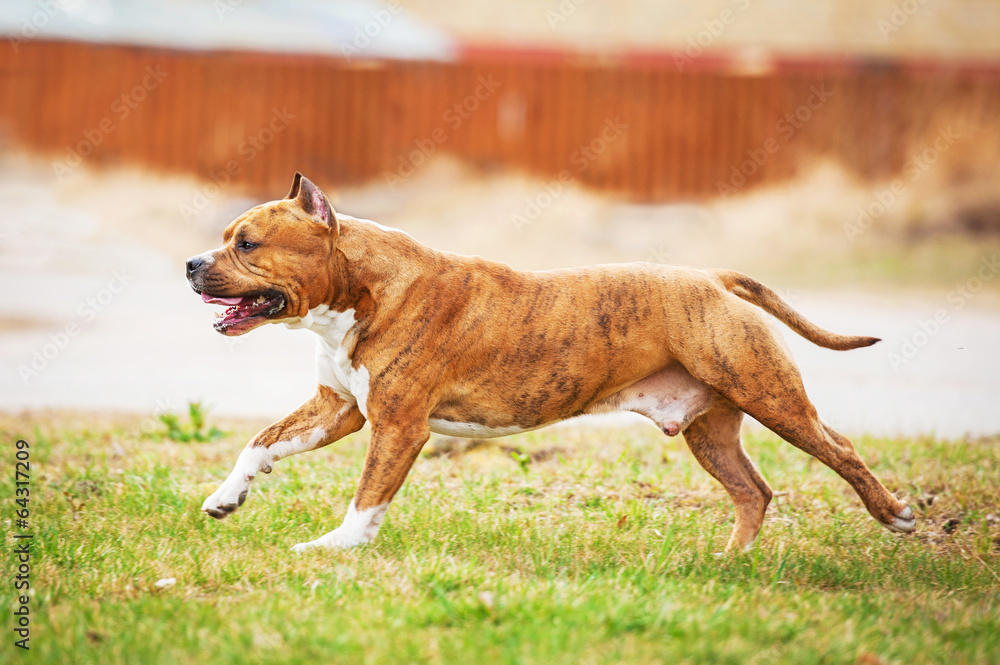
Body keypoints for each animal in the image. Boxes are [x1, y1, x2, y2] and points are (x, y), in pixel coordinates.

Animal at [186, 171, 916, 548]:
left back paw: (897, 514)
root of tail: (711, 278)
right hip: (711, 428)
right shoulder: (339, 409)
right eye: (225, 238)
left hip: (771, 396)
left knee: (841, 449)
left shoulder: (397, 427)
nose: (191, 263)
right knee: (752, 490)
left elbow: (367, 496)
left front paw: (336, 548)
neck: (359, 289)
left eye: (247, 243)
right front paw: (226, 497)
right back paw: (730, 561)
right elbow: (260, 442)